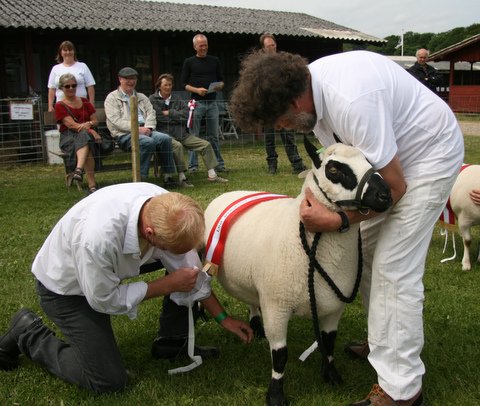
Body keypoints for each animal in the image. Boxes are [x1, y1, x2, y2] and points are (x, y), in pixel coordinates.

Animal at [204, 137, 392, 406]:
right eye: (333, 169)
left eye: (369, 161)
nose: (385, 195)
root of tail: (234, 192)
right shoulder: (277, 306)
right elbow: (280, 355)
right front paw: (275, 395)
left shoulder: (334, 306)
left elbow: (329, 343)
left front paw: (331, 375)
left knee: (251, 300)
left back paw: (256, 327)